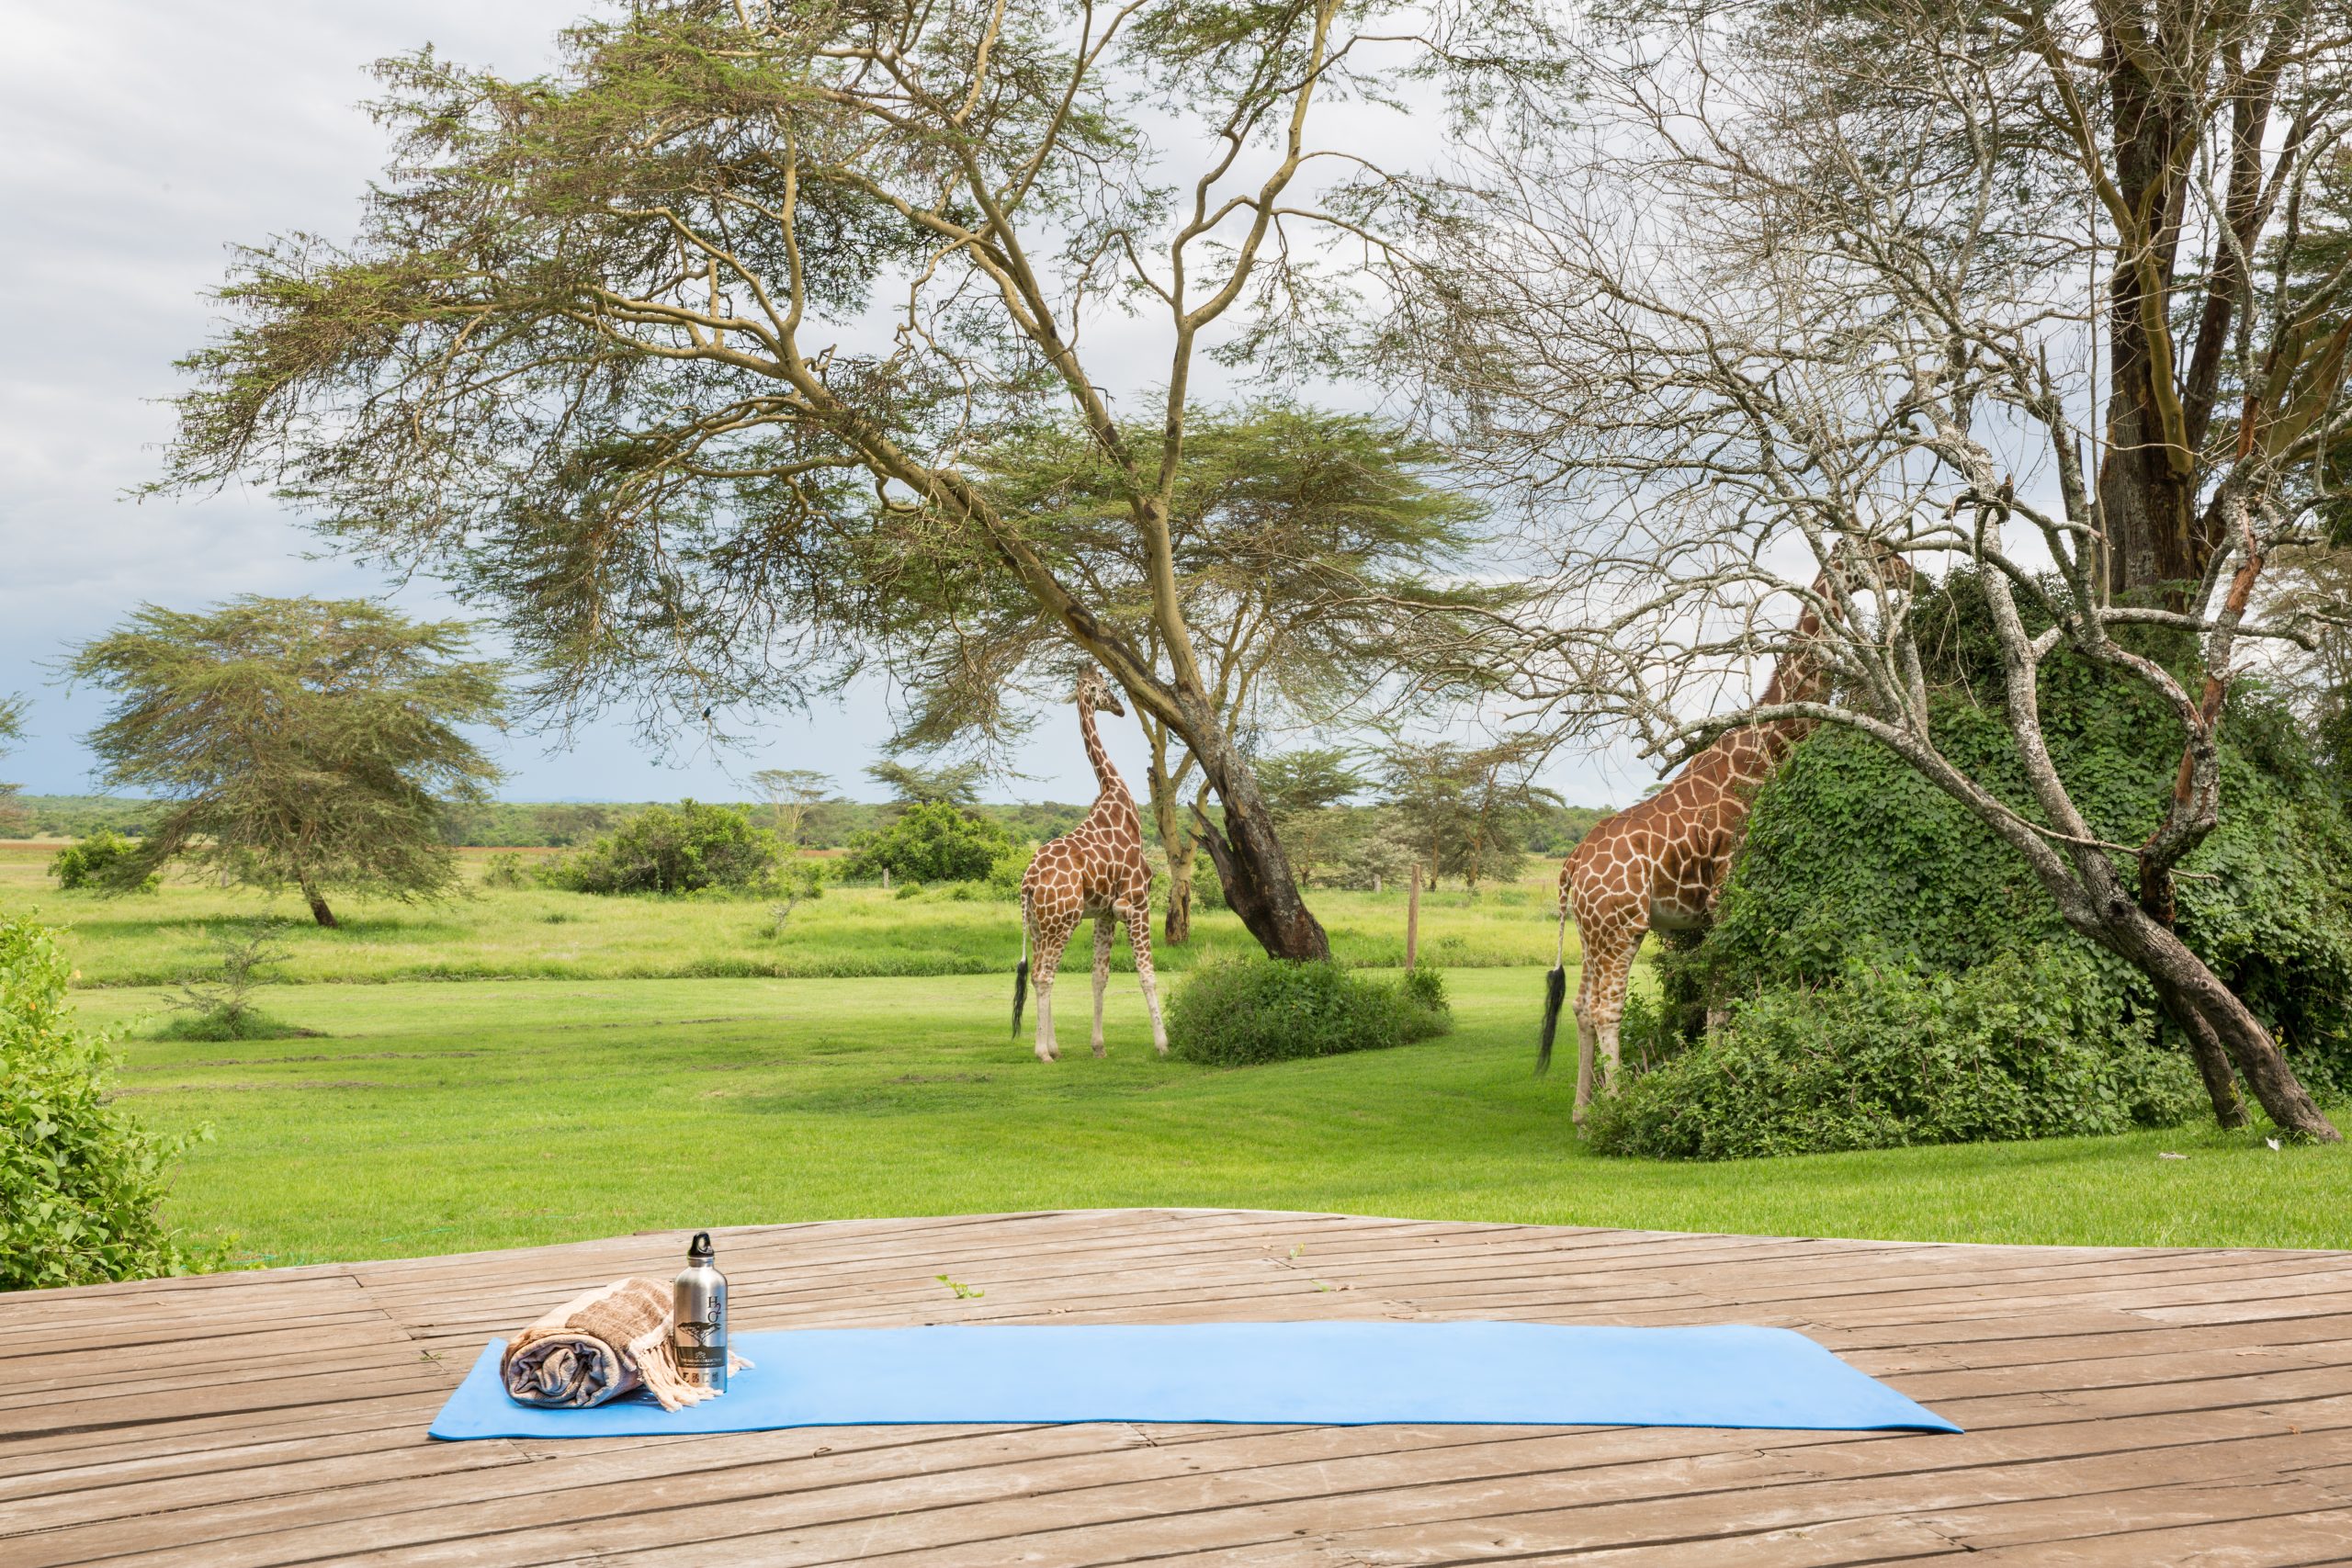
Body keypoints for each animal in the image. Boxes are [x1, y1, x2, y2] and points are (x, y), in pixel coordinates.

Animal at [1011, 669, 1169, 1063]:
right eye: (1106, 688)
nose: (1121, 708)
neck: (1117, 797)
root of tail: (1028, 882)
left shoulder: (1104, 913)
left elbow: (1099, 976)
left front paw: (1098, 1045)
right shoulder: (1138, 901)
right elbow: (1147, 974)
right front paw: (1163, 1043)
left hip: (1038, 925)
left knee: (1038, 973)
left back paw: (1052, 1046)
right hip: (1062, 922)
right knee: (1043, 975)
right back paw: (1043, 1052)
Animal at [1539, 576, 1854, 1122]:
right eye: (1884, 559)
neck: (1762, 754)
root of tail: (1570, 868)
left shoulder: (1711, 911)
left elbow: (1716, 999)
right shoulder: (1726, 893)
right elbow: (1721, 998)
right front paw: (1716, 1072)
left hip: (1590, 930)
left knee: (1580, 1006)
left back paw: (1582, 1113)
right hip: (1622, 926)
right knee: (1606, 1008)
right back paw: (1617, 1112)